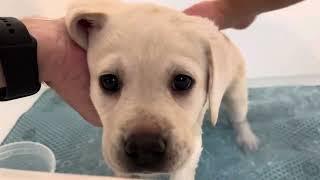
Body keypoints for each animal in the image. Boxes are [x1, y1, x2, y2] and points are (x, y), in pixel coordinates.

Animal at [65, 0, 258, 179]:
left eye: (182, 81)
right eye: (109, 81)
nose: (144, 147)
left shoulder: (190, 148)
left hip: (236, 94)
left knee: (239, 119)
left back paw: (248, 140)